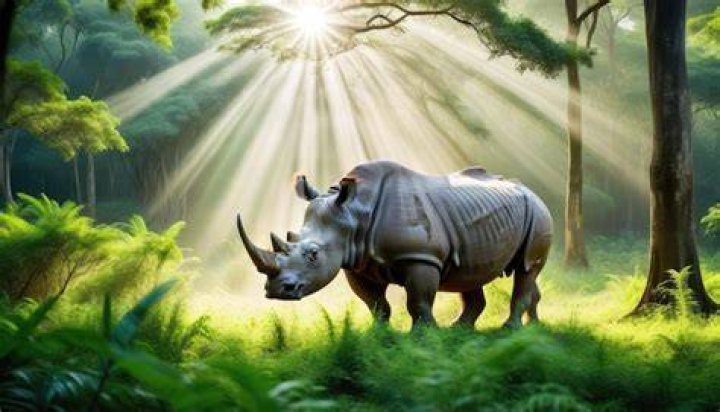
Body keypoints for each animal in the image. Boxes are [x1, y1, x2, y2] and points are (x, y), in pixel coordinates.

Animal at [236, 161, 553, 329]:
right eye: (292, 237)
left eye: (313, 255)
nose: (276, 291)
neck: (353, 213)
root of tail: (531, 191)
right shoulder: (358, 264)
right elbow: (376, 304)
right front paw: (379, 336)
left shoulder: (421, 256)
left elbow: (418, 302)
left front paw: (424, 338)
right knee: (473, 274)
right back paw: (464, 331)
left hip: (539, 213)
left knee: (527, 268)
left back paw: (509, 331)